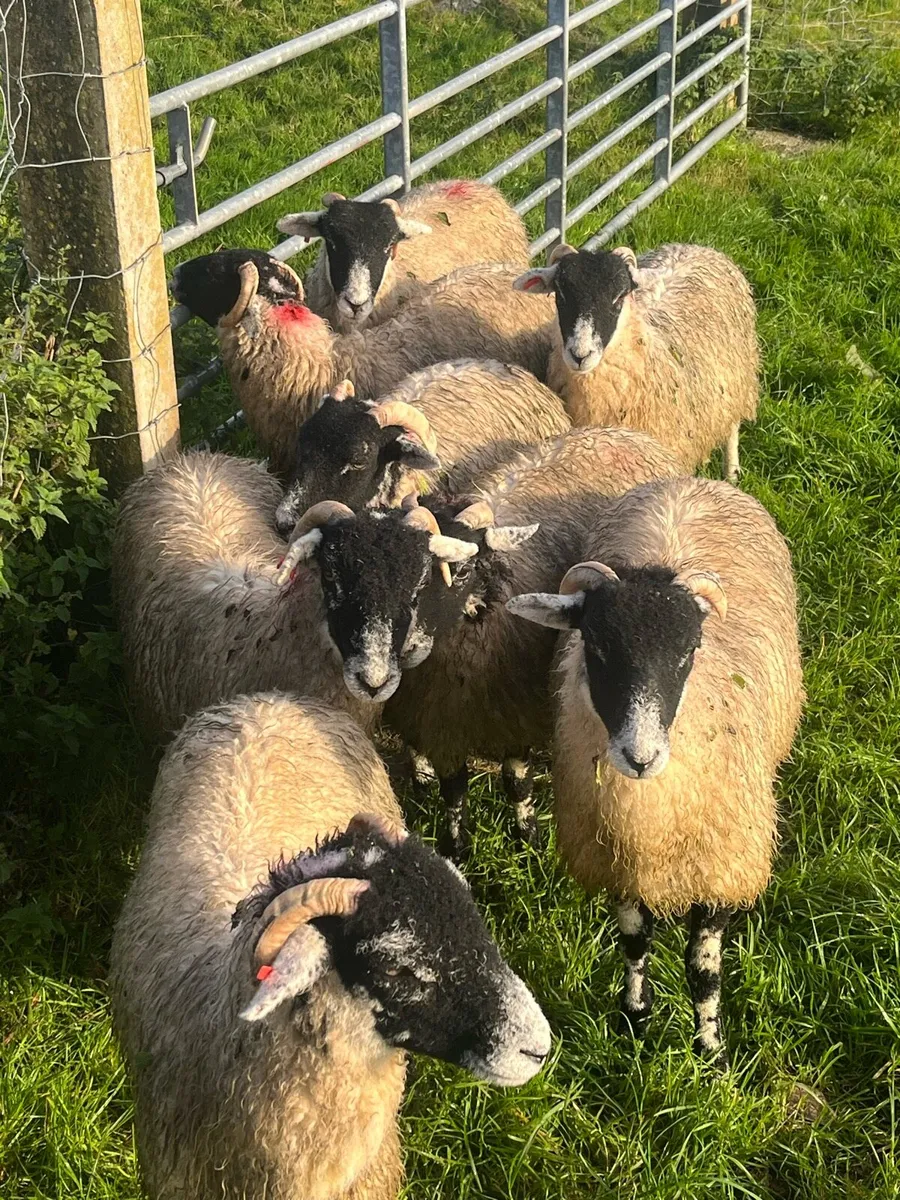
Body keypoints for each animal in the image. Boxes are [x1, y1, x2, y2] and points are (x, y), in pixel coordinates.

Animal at [507, 475, 803, 1061]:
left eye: (688, 652)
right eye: (595, 647)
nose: (640, 757)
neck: (650, 820)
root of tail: (696, 481)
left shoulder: (720, 865)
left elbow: (702, 969)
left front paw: (710, 1052)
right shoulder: (618, 858)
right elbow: (634, 941)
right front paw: (636, 1018)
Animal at [512, 242, 759, 481]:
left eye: (619, 297)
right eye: (561, 294)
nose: (580, 355)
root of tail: (699, 247)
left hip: (737, 377)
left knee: (732, 426)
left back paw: (732, 473)